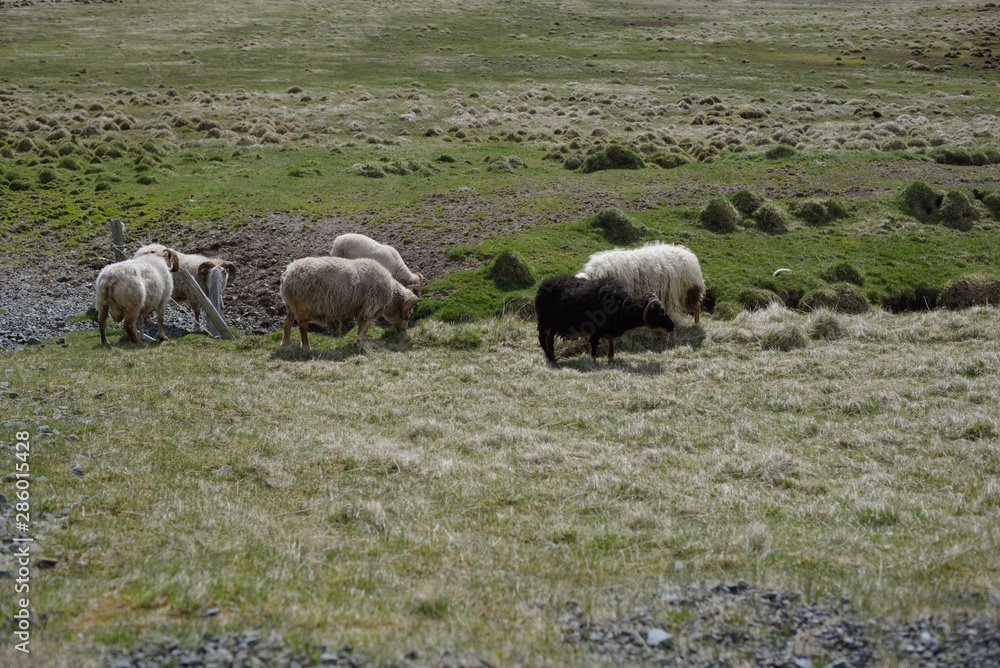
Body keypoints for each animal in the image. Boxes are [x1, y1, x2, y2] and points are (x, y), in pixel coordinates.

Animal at [280, 254, 420, 350]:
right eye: (410, 312)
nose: (403, 332)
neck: (390, 296)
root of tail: (287, 273)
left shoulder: (362, 309)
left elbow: (361, 325)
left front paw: (359, 341)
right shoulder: (370, 308)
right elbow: (366, 326)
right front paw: (359, 341)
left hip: (292, 305)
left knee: (288, 321)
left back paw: (286, 343)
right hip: (303, 305)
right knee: (302, 326)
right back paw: (306, 347)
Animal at [536, 274, 676, 362]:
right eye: (660, 313)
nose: (672, 326)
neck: (621, 308)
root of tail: (542, 286)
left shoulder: (609, 329)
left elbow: (611, 342)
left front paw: (611, 357)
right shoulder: (595, 331)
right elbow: (594, 347)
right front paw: (593, 360)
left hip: (553, 325)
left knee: (550, 340)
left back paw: (553, 356)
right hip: (544, 322)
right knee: (542, 339)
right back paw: (551, 359)